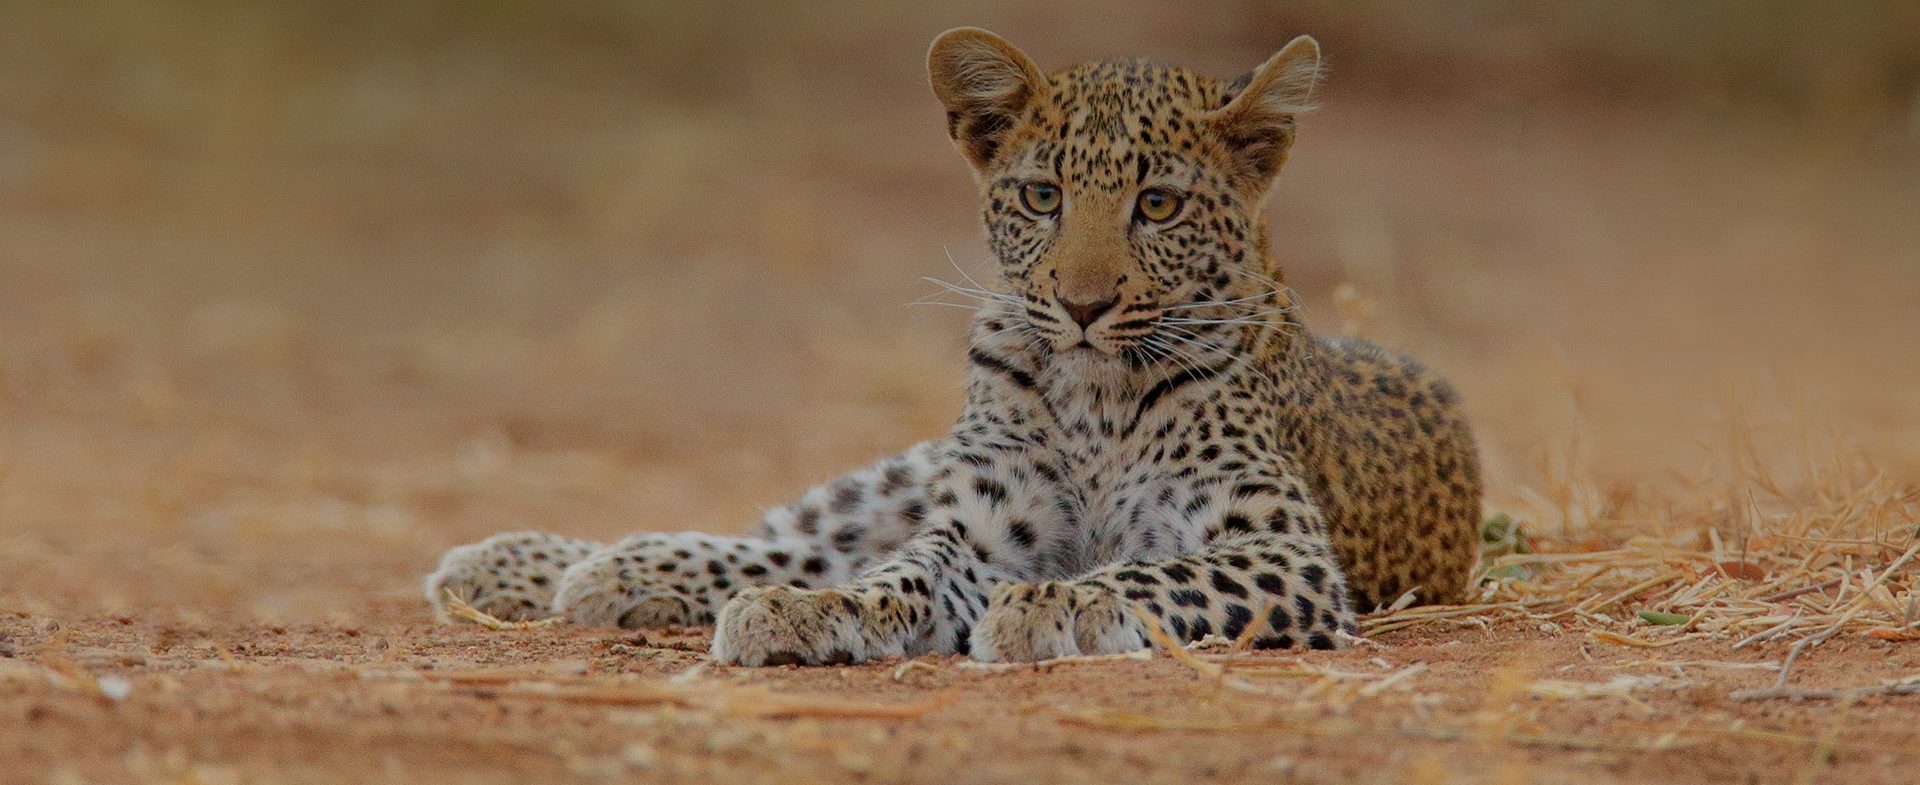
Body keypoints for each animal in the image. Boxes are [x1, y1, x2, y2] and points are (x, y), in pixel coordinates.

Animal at [423, 27, 1481, 666]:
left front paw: (1057, 606)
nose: (1083, 303)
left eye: (1158, 205)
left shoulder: (1285, 549)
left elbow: (1158, 570)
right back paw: (550, 563)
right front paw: (817, 616)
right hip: (900, 477)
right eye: (1043, 196)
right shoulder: (979, 527)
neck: (1096, 399)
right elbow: (901, 572)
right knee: (796, 538)